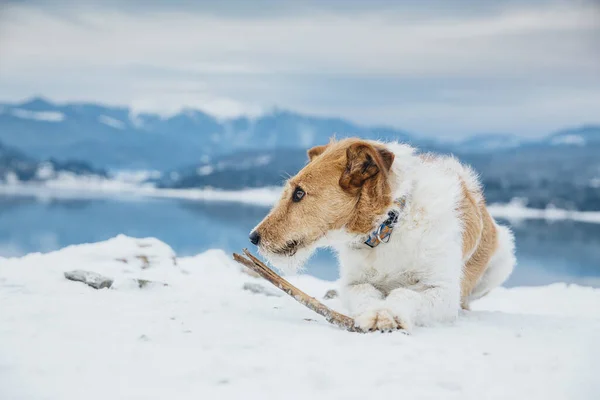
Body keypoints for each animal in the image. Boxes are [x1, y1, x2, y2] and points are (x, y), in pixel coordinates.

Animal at [248, 138, 516, 332]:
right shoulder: (353, 283)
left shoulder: (443, 290)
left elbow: (405, 293)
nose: (253, 237)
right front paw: (373, 313)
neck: (388, 226)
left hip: (503, 257)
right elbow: (366, 293)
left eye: (299, 193)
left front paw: (391, 313)